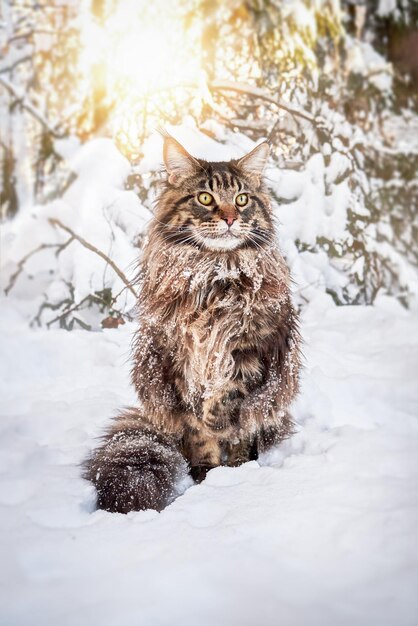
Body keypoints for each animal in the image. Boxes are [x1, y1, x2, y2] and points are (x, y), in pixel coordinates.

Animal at [84, 132, 300, 512]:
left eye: (242, 199)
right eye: (205, 198)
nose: (229, 218)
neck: (214, 273)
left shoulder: (250, 353)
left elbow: (232, 414)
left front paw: (234, 473)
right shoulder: (177, 358)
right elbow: (199, 430)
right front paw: (208, 477)